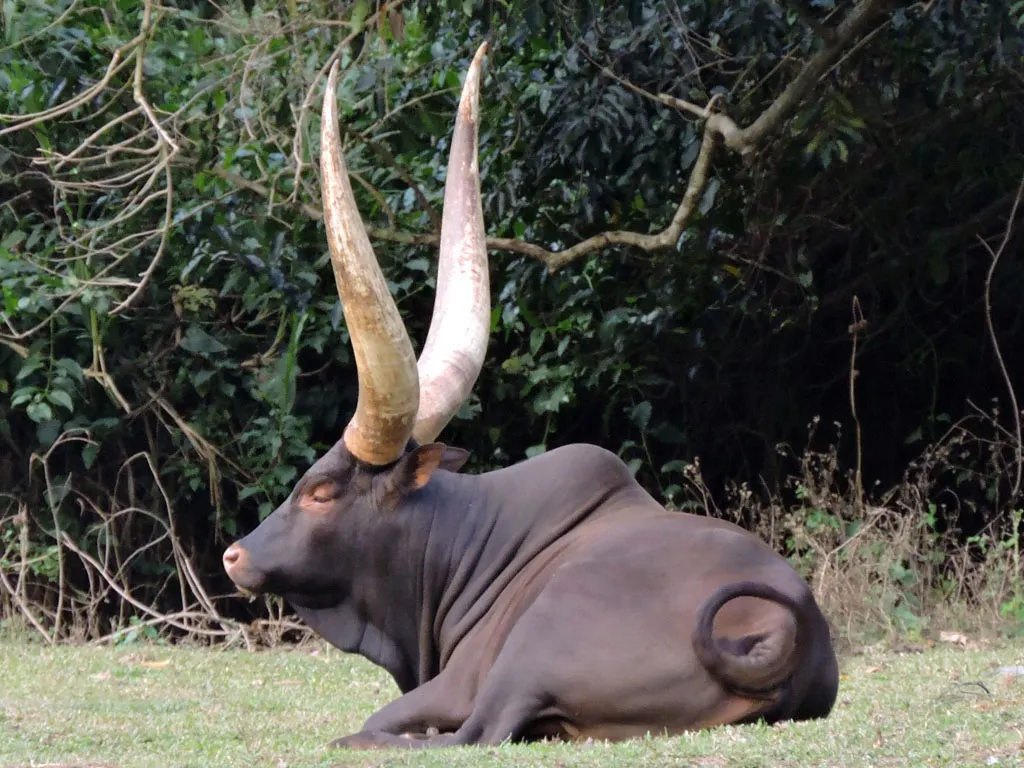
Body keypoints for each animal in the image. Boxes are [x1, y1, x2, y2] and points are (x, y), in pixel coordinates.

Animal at [222, 42, 840, 750]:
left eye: (321, 491)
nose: (235, 554)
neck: (462, 537)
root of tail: (785, 632)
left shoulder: (455, 682)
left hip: (520, 660)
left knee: (465, 732)